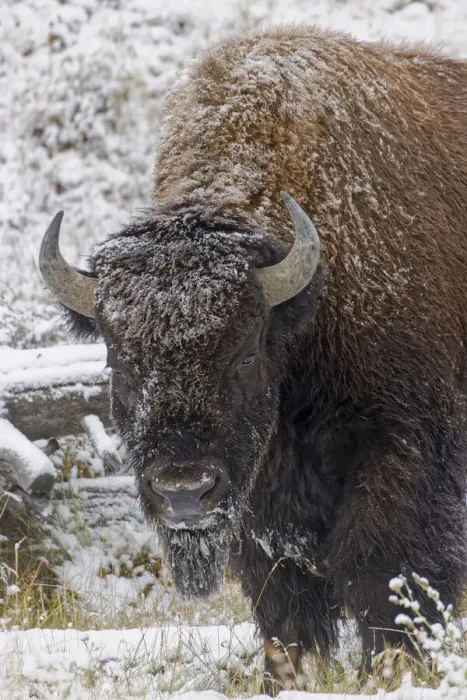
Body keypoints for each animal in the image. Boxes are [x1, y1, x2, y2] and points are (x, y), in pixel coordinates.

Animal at [39, 27, 467, 691]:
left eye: (243, 355)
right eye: (120, 361)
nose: (184, 490)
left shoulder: (405, 453)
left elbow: (382, 573)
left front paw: (393, 671)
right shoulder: (255, 495)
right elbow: (284, 603)